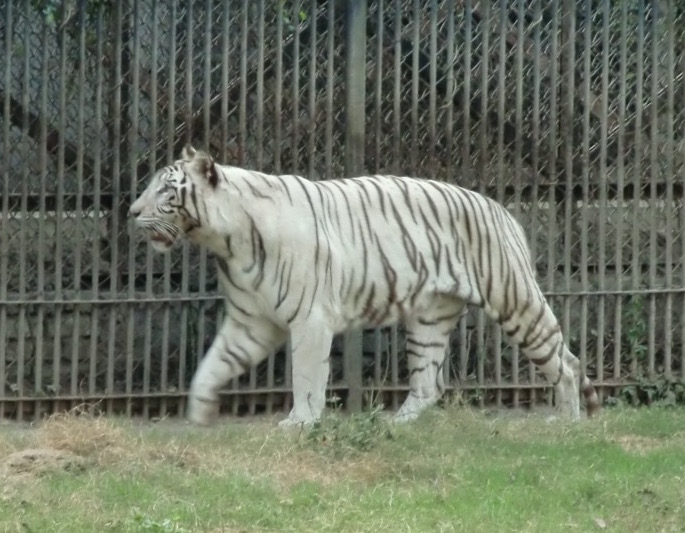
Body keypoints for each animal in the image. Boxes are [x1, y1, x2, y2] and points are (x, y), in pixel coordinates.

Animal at [128, 144, 600, 424]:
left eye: (166, 190)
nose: (131, 211)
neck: (224, 241)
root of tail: (503, 211)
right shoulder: (251, 321)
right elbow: (211, 365)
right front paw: (199, 413)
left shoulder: (310, 319)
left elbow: (306, 375)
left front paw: (299, 423)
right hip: (428, 320)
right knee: (429, 384)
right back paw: (398, 425)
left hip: (514, 300)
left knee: (566, 362)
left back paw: (566, 421)